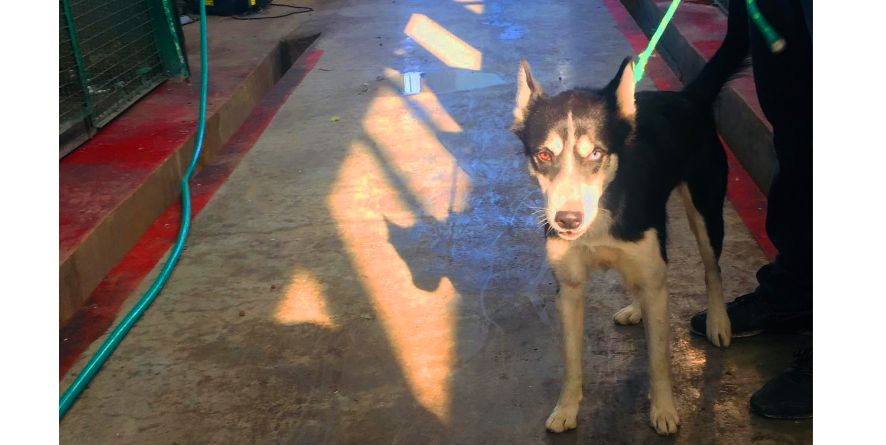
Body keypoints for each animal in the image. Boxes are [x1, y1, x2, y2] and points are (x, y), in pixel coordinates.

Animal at [510, 6, 748, 436]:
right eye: (543, 155)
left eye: (596, 154)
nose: (566, 219)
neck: (603, 210)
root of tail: (687, 97)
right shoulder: (569, 288)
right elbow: (572, 361)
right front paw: (567, 408)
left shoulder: (655, 272)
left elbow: (659, 360)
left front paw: (664, 409)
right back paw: (637, 308)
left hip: (706, 211)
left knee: (712, 269)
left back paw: (719, 321)